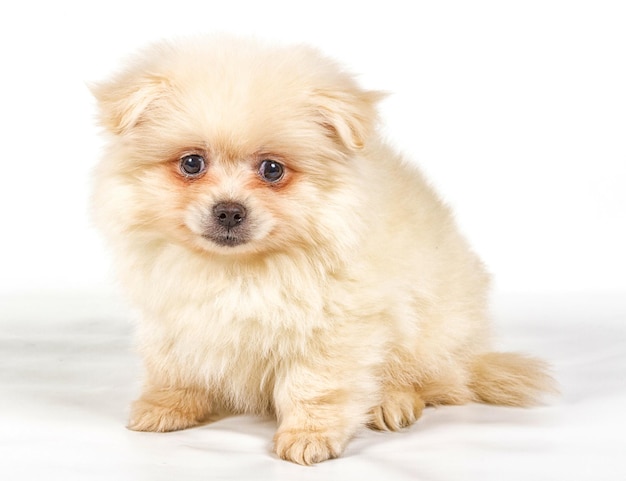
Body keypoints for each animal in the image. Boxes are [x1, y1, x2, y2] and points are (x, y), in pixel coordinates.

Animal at [91, 35, 552, 464]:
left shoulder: (333, 329)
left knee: (439, 382)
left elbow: (313, 386)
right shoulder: (173, 318)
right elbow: (174, 367)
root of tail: (475, 356)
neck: (240, 268)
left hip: (430, 329)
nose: (229, 211)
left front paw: (308, 437)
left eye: (272, 169)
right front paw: (165, 407)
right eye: (191, 164)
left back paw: (392, 402)